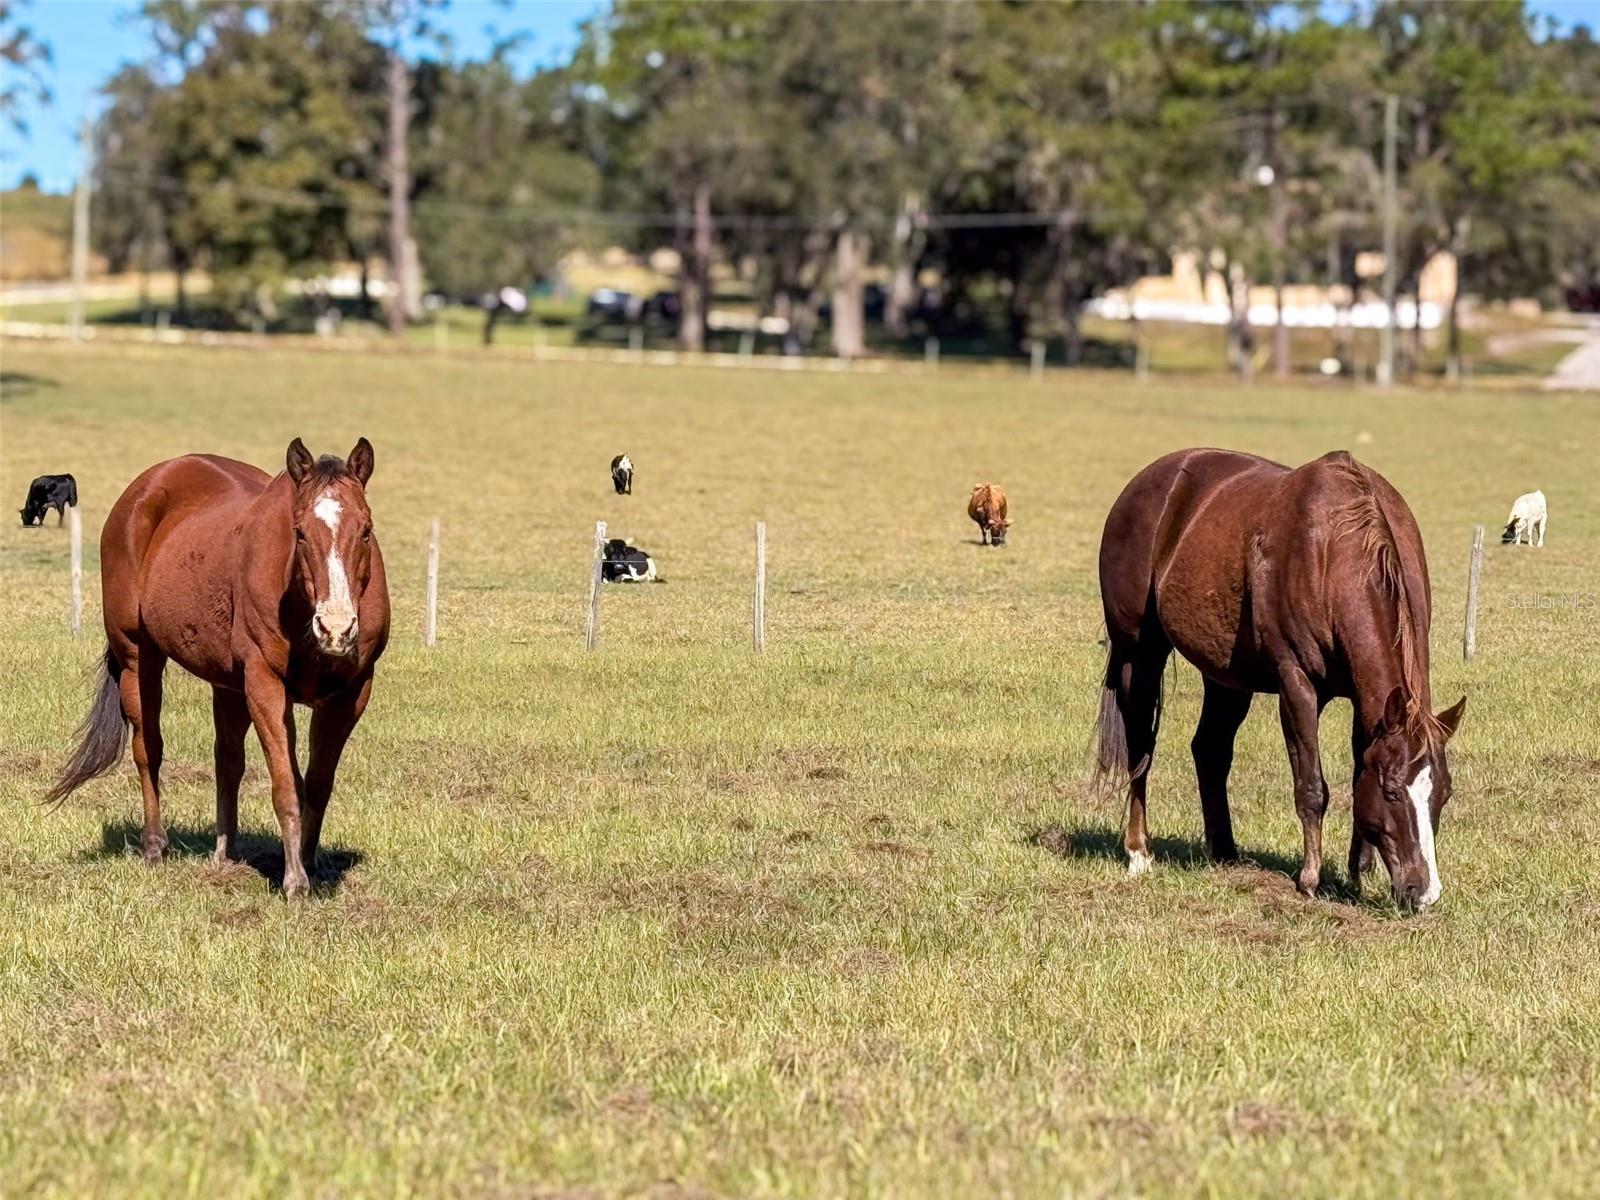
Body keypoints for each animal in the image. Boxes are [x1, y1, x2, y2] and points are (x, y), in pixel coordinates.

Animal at [49, 438, 387, 896]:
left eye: (365, 530)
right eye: (299, 532)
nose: (335, 628)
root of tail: (144, 488)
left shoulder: (351, 693)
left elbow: (317, 785)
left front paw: (310, 865)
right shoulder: (265, 685)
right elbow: (286, 785)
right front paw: (294, 881)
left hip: (227, 685)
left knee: (228, 760)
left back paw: (224, 854)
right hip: (139, 659)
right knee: (148, 749)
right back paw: (154, 845)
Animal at [1100, 451, 1465, 908]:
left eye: (1444, 794)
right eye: (1393, 791)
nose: (1424, 892)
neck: (1334, 554)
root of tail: (1145, 483)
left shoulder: (1367, 704)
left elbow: (1356, 773)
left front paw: (1357, 874)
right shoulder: (1297, 686)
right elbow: (1312, 787)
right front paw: (1310, 879)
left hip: (1226, 678)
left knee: (1210, 750)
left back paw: (1224, 852)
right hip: (1139, 655)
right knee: (1140, 749)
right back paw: (1139, 852)